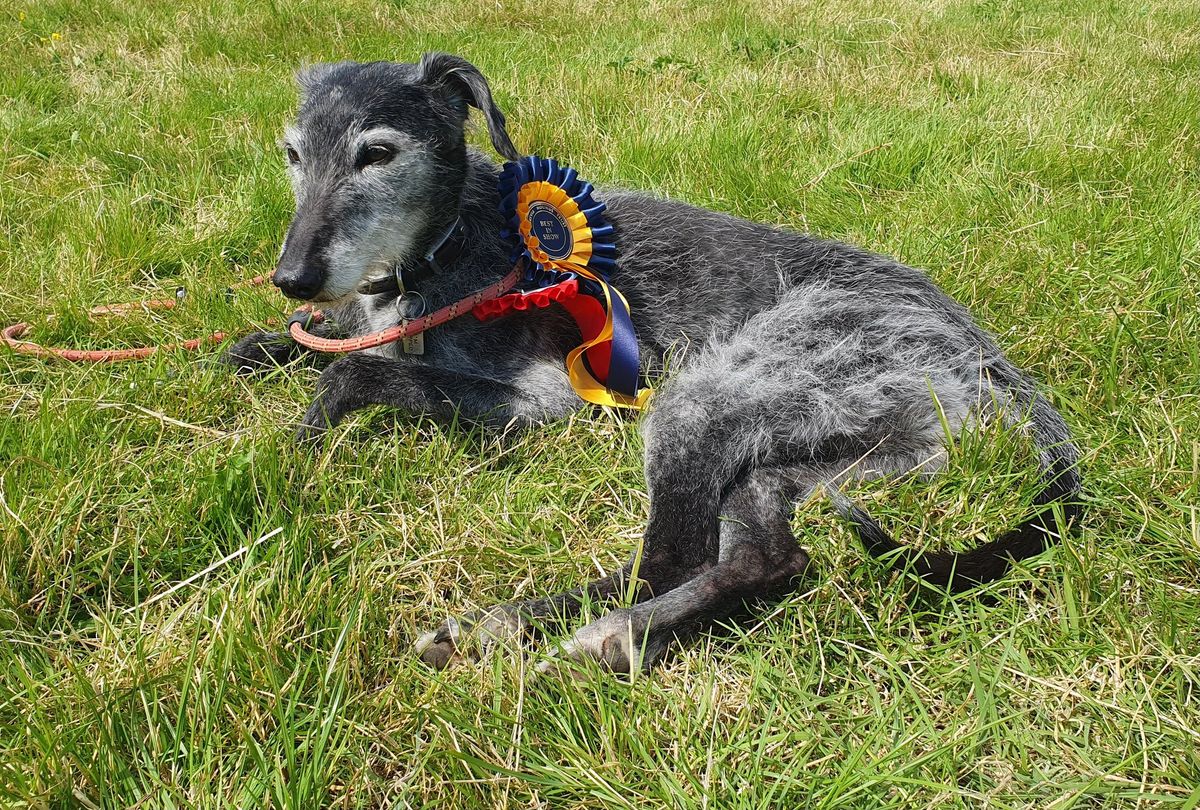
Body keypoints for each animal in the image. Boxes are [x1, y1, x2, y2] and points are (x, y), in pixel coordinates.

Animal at [225, 52, 1080, 676]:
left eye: (377, 152)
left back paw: (558, 631)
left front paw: (300, 439)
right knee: (771, 555)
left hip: (706, 399)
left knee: (669, 560)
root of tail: (983, 354)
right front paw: (270, 342)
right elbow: (315, 341)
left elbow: (357, 372)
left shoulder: (545, 399)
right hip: (832, 454)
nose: (291, 276)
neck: (450, 240)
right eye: (293, 154)